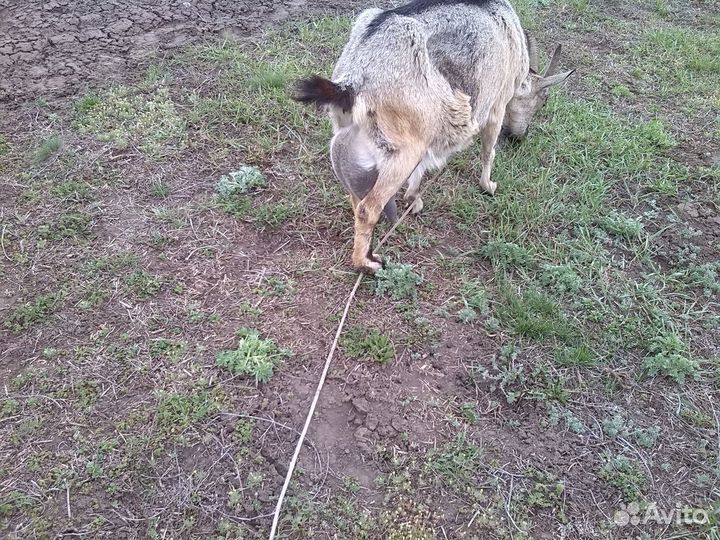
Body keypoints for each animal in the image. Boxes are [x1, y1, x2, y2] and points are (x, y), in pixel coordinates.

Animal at [294, 0, 573, 273]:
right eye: (543, 100)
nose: (519, 136)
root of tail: (353, 80)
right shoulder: (496, 105)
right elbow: (488, 150)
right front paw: (488, 186)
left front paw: (413, 200)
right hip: (404, 149)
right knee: (367, 207)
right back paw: (368, 263)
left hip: (347, 139)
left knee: (356, 196)